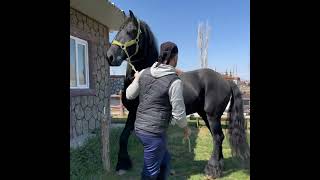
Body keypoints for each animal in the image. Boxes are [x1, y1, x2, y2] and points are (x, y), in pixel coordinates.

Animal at [106, 10, 249, 178]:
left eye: (132, 31)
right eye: (119, 30)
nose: (110, 56)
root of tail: (226, 81)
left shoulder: (138, 113)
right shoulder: (133, 113)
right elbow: (123, 137)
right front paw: (122, 165)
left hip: (212, 115)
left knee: (218, 137)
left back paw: (212, 169)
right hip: (206, 115)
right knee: (217, 137)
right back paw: (220, 165)